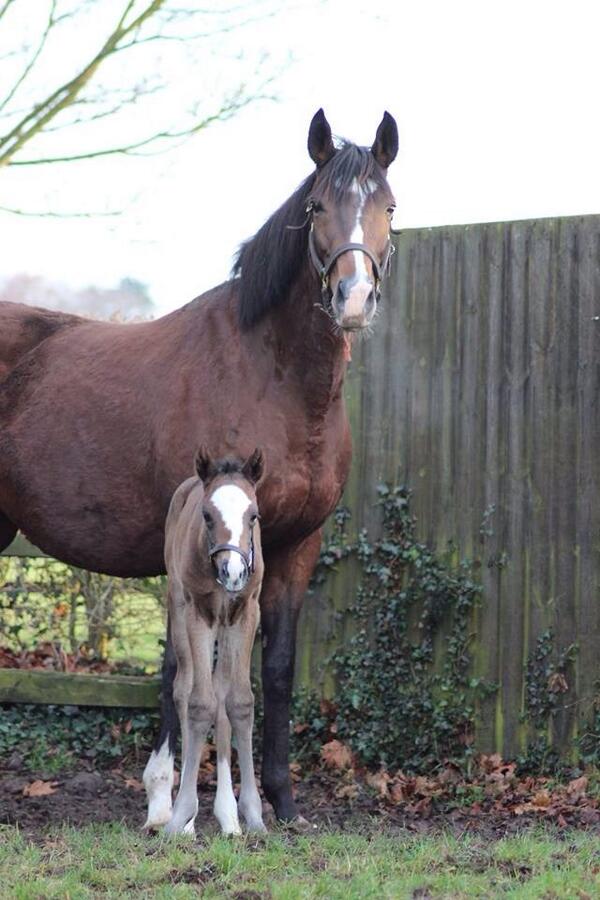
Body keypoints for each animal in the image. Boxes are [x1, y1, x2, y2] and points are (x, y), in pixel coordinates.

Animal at [162, 450, 268, 836]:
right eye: (207, 516)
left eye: (253, 515)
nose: (233, 571)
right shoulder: (199, 614)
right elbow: (198, 704)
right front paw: (181, 815)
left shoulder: (246, 612)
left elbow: (240, 702)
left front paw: (252, 814)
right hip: (179, 609)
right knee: (184, 689)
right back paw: (183, 817)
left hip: (226, 624)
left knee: (221, 692)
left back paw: (228, 815)